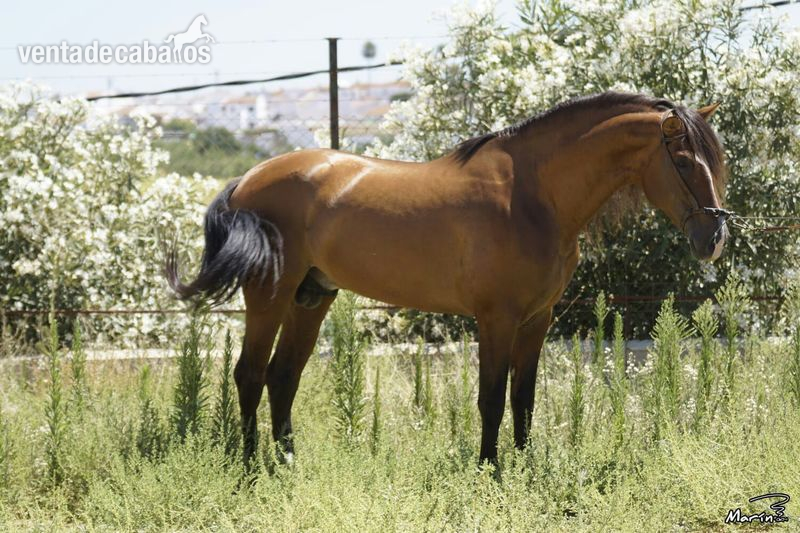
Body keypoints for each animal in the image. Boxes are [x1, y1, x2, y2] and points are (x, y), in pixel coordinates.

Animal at [166, 92, 729, 466]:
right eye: (683, 160)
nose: (715, 238)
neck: (533, 195)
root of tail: (248, 177)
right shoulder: (496, 319)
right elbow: (491, 398)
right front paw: (490, 470)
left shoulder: (537, 320)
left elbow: (523, 398)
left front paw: (524, 466)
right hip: (269, 295)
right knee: (249, 374)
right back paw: (248, 468)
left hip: (312, 297)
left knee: (283, 376)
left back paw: (288, 463)